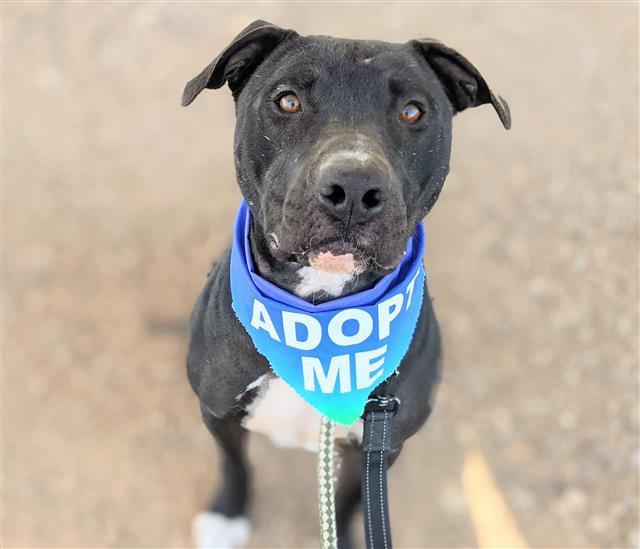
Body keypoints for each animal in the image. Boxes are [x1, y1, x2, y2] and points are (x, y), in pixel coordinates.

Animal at [181, 19, 510, 544]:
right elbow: (235, 466)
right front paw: (228, 516)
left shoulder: (381, 446)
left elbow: (356, 500)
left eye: (412, 111)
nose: (353, 188)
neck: (320, 317)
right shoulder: (218, 414)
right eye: (288, 101)